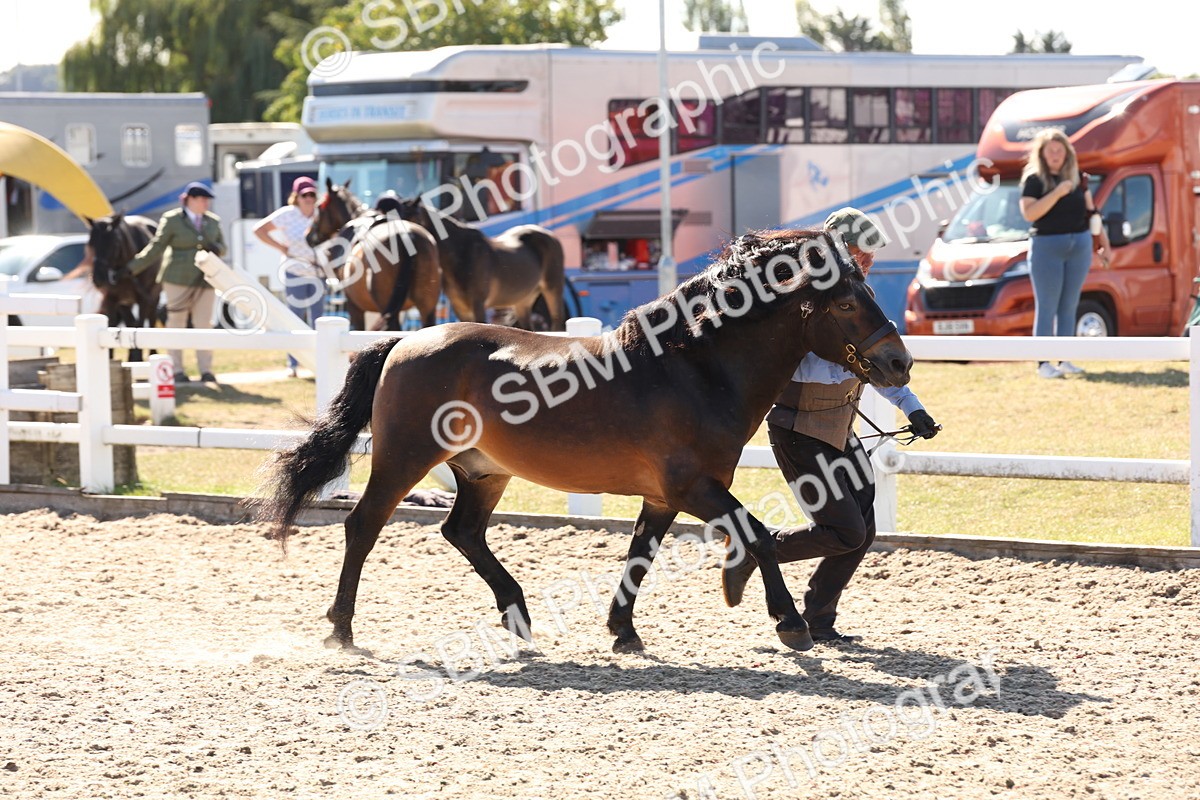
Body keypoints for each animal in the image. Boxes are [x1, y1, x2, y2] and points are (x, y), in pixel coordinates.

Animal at [85, 214, 163, 363]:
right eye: (91, 243)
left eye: (114, 243)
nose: (98, 278)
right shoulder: (112, 299)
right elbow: (113, 325)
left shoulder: (144, 298)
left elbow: (140, 325)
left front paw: (139, 357)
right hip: (126, 302)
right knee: (130, 322)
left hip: (154, 295)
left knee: (150, 318)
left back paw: (151, 353)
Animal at [256, 228, 912, 655]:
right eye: (847, 301)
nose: (899, 363)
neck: (693, 368)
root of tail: (404, 342)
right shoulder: (694, 487)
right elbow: (758, 536)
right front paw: (789, 623)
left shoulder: (666, 497)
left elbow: (641, 555)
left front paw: (624, 631)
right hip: (405, 458)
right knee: (363, 525)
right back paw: (340, 628)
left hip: (484, 471)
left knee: (462, 532)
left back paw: (518, 617)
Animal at [394, 196, 566, 331]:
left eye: (411, 219)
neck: (462, 254)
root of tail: (550, 236)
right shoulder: (460, 309)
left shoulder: (478, 304)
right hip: (523, 301)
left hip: (552, 290)